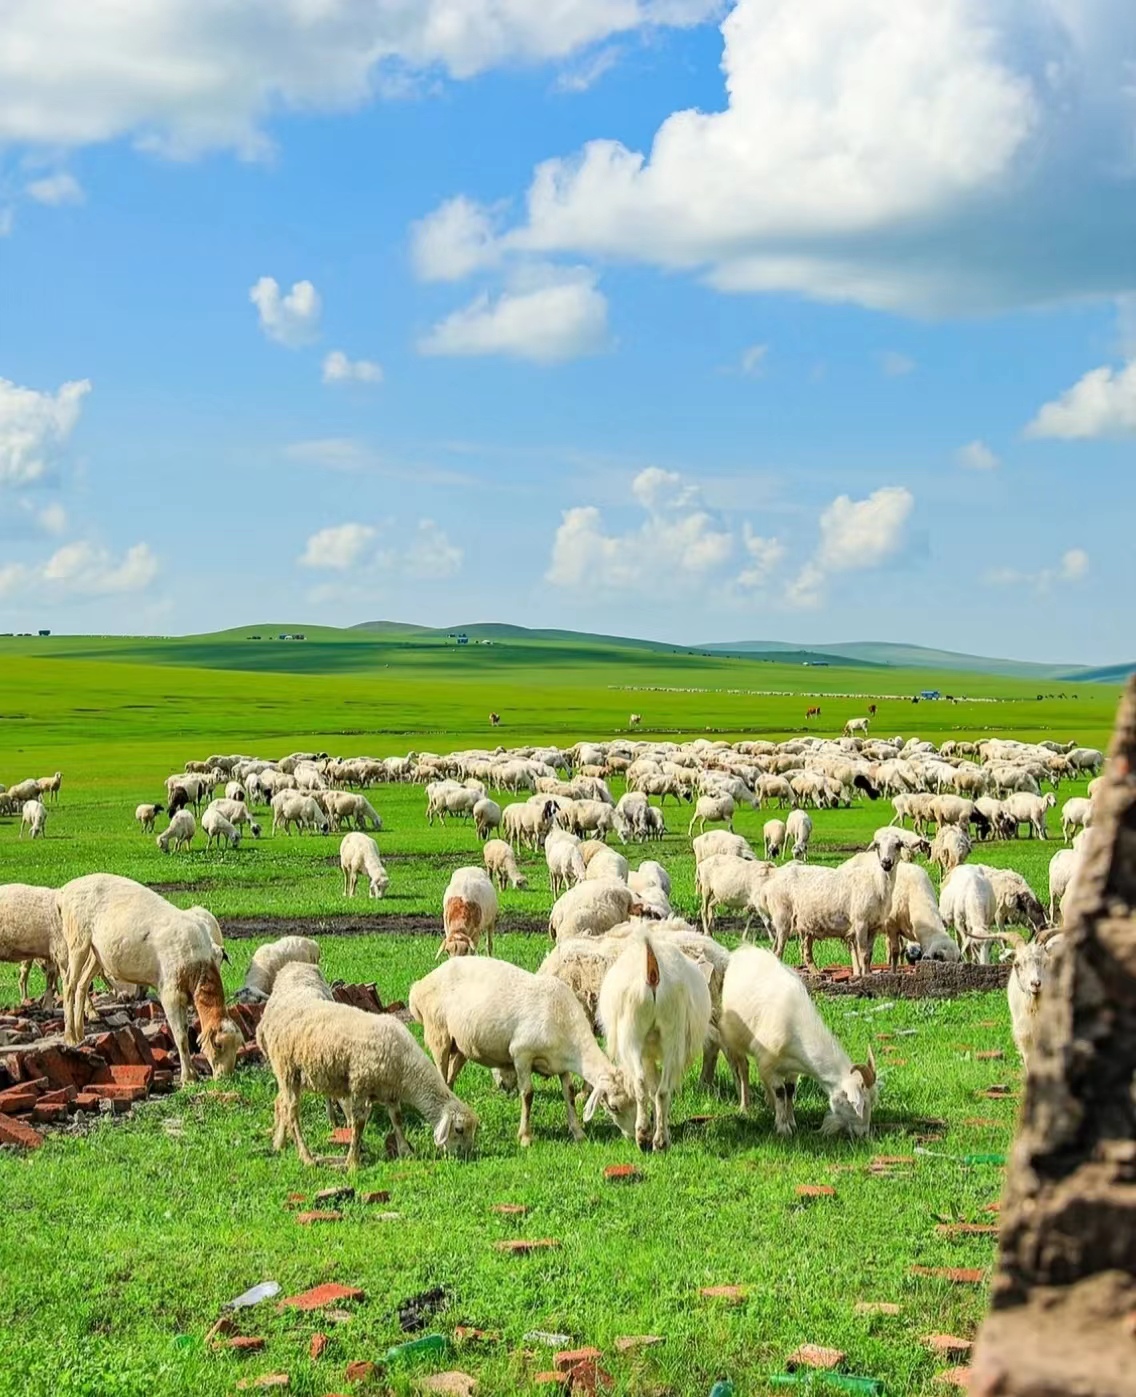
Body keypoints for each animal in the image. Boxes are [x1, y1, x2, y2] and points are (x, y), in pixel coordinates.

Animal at [57, 871, 238, 1078]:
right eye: (218, 1045)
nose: (225, 1077)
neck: (199, 968)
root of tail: (66, 889)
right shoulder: (170, 994)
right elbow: (181, 1036)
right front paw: (189, 1077)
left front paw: (192, 1073)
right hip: (77, 940)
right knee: (69, 985)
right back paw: (70, 1037)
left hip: (97, 953)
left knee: (82, 984)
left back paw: (80, 1034)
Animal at [264, 961, 475, 1167]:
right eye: (459, 1129)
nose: (465, 1156)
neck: (406, 1066)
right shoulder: (360, 1086)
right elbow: (358, 1124)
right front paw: (353, 1162)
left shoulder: (390, 1093)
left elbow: (397, 1120)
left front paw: (406, 1152)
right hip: (287, 1070)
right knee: (292, 1113)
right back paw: (306, 1156)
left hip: (296, 1076)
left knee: (281, 1103)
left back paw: (279, 1143)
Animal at [410, 961, 637, 1145]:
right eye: (614, 1107)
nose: (633, 1137)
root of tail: (419, 986)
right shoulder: (521, 1054)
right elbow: (528, 1094)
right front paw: (525, 1137)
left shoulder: (561, 1064)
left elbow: (569, 1093)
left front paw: (578, 1133)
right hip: (438, 1033)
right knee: (441, 1072)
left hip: (461, 1045)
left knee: (450, 1078)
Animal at [595, 933, 709, 1151]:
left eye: (612, 1107)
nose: (626, 1135)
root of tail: (653, 973)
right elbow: (657, 1088)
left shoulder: (646, 1054)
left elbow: (649, 1085)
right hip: (673, 1032)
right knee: (663, 1091)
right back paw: (660, 1140)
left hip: (631, 1033)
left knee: (640, 1083)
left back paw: (642, 1134)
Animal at [715, 944, 877, 1139]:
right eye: (863, 1105)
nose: (864, 1134)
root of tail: (744, 949)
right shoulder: (769, 1062)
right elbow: (780, 1092)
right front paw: (782, 1127)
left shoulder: (792, 1067)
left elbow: (790, 1090)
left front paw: (791, 1120)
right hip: (733, 1036)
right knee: (743, 1068)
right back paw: (745, 1106)